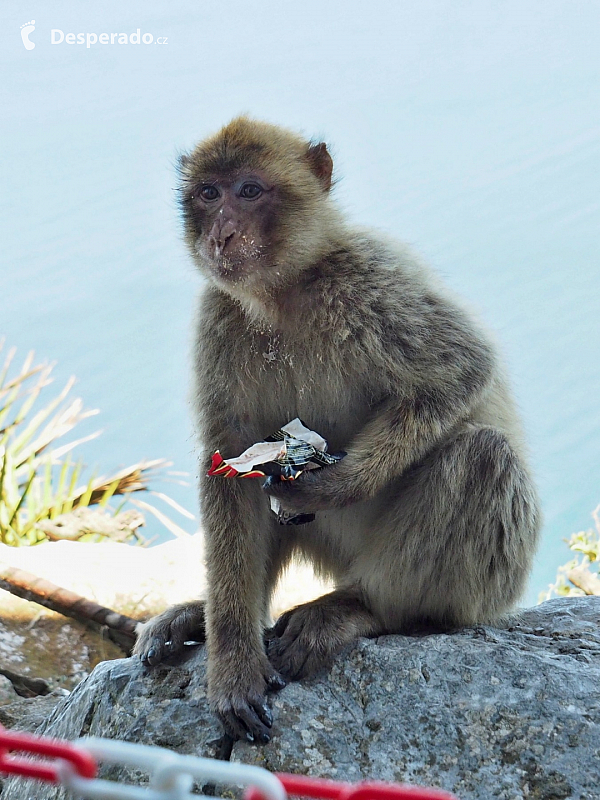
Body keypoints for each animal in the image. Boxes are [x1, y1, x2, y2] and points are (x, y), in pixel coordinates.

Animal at [134, 117, 540, 744]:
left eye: (248, 191)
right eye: (208, 193)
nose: (221, 234)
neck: (282, 293)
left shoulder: (372, 283)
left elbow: (462, 371)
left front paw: (330, 485)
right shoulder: (218, 319)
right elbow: (230, 462)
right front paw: (233, 662)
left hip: (489, 581)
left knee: (483, 454)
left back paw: (368, 607)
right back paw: (204, 615)